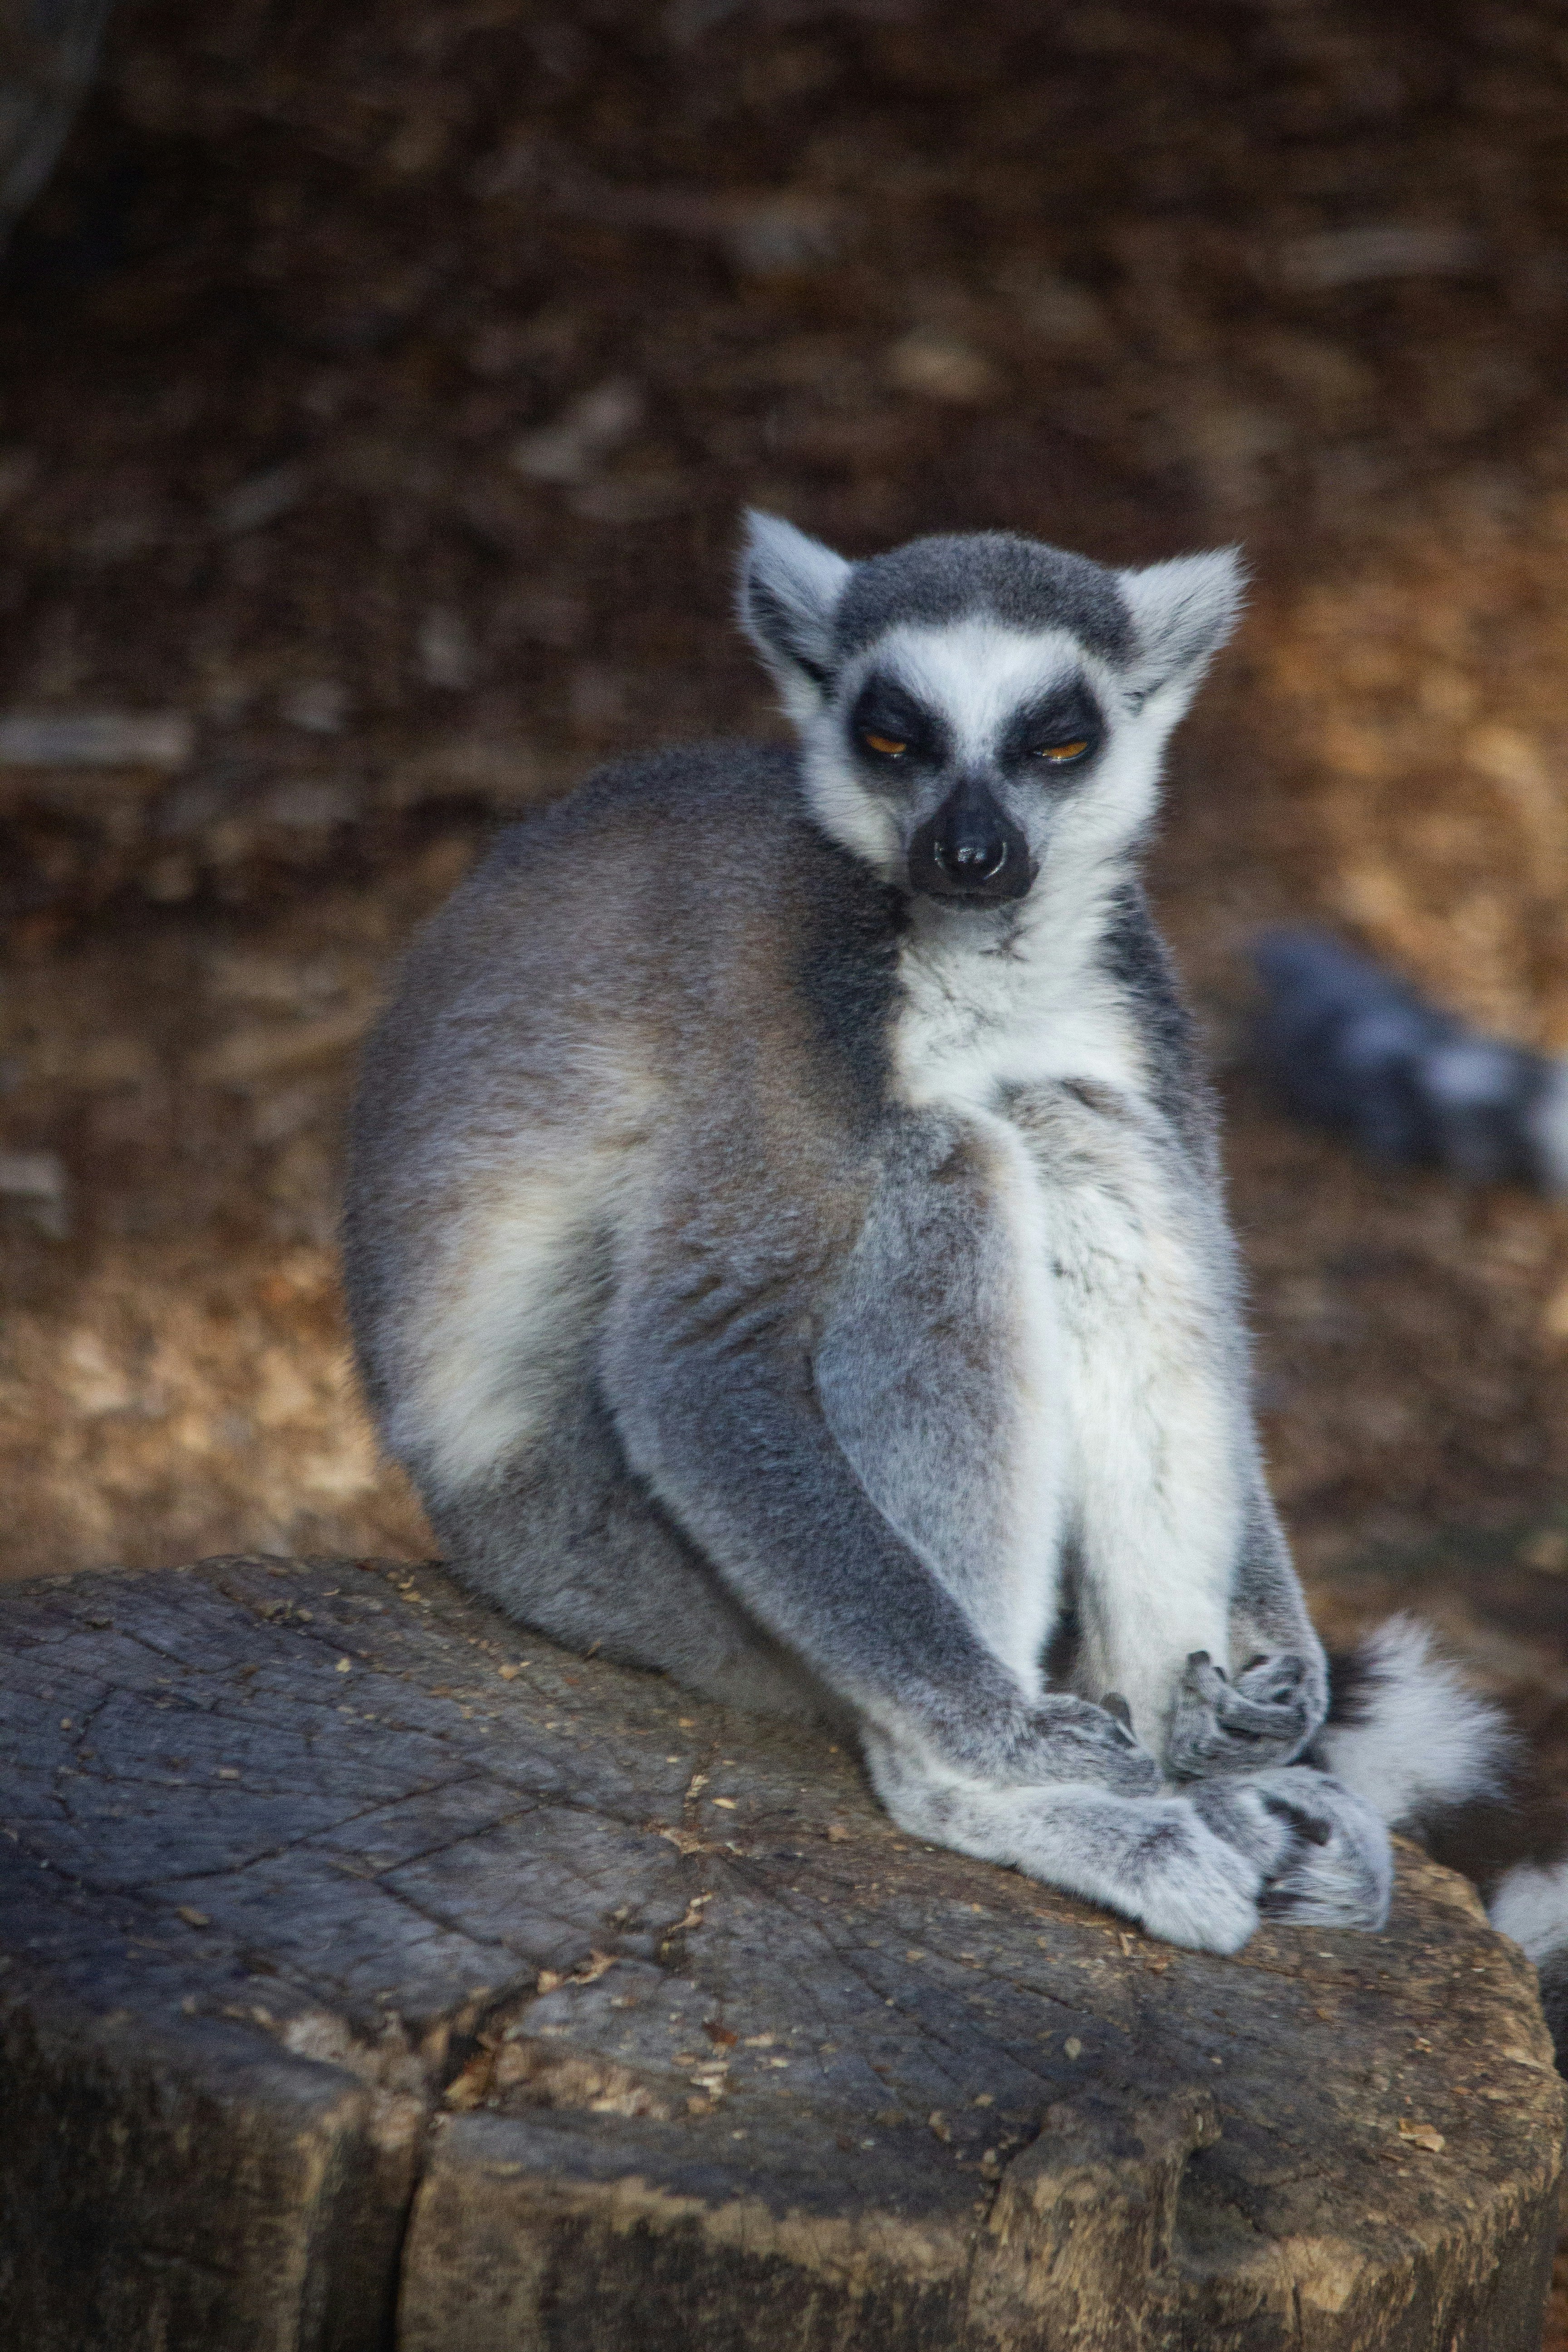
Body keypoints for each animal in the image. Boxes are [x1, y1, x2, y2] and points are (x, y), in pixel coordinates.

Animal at [344, 513, 1554, 1980]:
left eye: (1055, 743)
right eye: (894, 739)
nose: (969, 856)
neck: (982, 962)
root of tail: (468, 1538)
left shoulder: (1135, 990)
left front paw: (1282, 1664)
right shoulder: (780, 995)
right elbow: (703, 1354)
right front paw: (1002, 1741)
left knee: (1080, 1127)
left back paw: (1208, 1771)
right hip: (628, 1567)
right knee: (946, 1165)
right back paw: (1002, 1797)